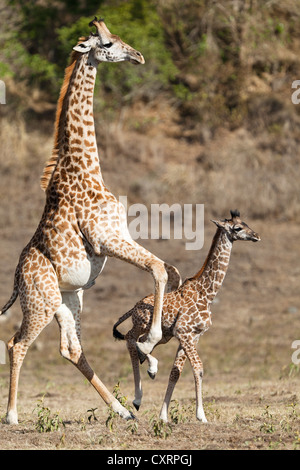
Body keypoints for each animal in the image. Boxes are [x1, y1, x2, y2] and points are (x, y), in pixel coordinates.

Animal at [0, 17, 180, 426]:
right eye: (108, 43)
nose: (138, 55)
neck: (86, 166)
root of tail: (16, 281)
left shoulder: (118, 235)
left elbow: (169, 269)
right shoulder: (106, 238)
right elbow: (158, 269)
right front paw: (148, 346)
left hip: (68, 298)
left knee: (71, 348)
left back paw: (122, 410)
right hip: (41, 300)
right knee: (16, 343)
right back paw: (12, 416)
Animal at [113, 209, 260, 422]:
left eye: (246, 223)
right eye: (237, 228)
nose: (256, 235)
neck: (207, 294)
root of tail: (134, 307)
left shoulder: (193, 336)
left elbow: (176, 372)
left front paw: (163, 416)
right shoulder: (184, 332)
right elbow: (198, 368)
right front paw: (201, 416)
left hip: (164, 335)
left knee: (137, 342)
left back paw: (148, 369)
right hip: (144, 324)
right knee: (130, 339)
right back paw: (140, 393)